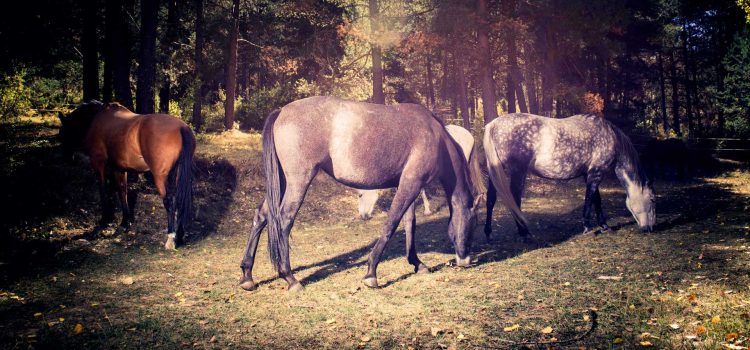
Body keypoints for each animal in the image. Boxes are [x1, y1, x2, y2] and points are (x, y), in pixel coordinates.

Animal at [58, 100, 195, 249]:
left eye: (63, 133)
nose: (66, 158)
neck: (95, 119)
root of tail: (181, 127)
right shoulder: (119, 169)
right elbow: (122, 192)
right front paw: (124, 223)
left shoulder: (98, 164)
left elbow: (103, 191)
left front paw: (104, 220)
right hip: (178, 174)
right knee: (179, 200)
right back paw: (180, 236)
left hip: (160, 177)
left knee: (169, 201)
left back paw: (171, 238)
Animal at [238, 96, 490, 292]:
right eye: (474, 224)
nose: (465, 260)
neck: (435, 136)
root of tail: (282, 111)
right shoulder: (410, 185)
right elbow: (391, 224)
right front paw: (371, 273)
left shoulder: (409, 185)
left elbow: (409, 223)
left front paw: (417, 263)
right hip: (298, 182)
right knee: (284, 220)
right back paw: (290, 277)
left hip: (281, 182)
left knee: (262, 216)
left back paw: (247, 276)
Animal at [484, 113, 656, 239]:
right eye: (653, 199)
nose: (650, 228)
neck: (611, 137)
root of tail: (494, 124)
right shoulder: (596, 173)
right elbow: (590, 199)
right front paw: (587, 228)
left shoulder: (589, 174)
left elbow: (597, 199)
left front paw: (604, 226)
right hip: (517, 172)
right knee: (514, 198)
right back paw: (524, 232)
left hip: (496, 172)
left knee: (491, 199)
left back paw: (488, 232)